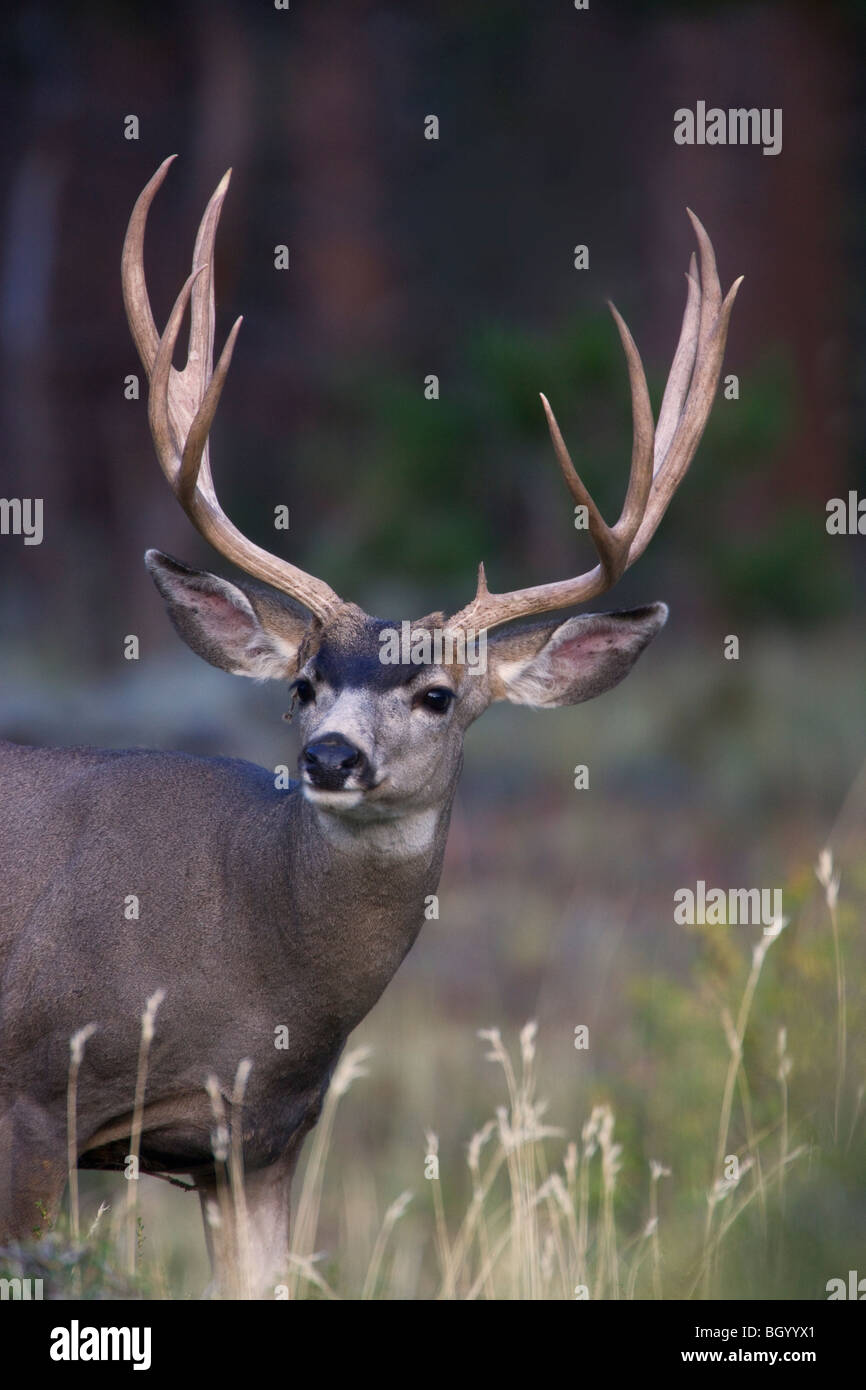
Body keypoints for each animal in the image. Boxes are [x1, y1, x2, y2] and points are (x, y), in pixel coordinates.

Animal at [0, 156, 740, 1297]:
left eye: (437, 694)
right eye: (302, 683)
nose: (330, 756)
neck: (252, 963)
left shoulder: (257, 1143)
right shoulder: (34, 1091)